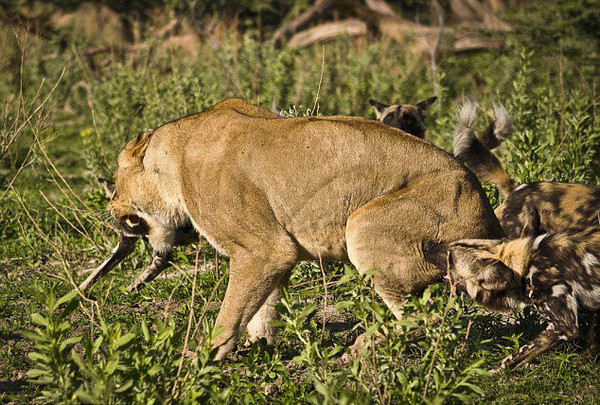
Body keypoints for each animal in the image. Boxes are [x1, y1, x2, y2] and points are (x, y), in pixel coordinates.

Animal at [450, 226, 600, 370]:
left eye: (450, 260)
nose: (446, 245)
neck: (525, 267)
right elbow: (592, 341)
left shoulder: (565, 326)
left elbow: (517, 355)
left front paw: (492, 371)